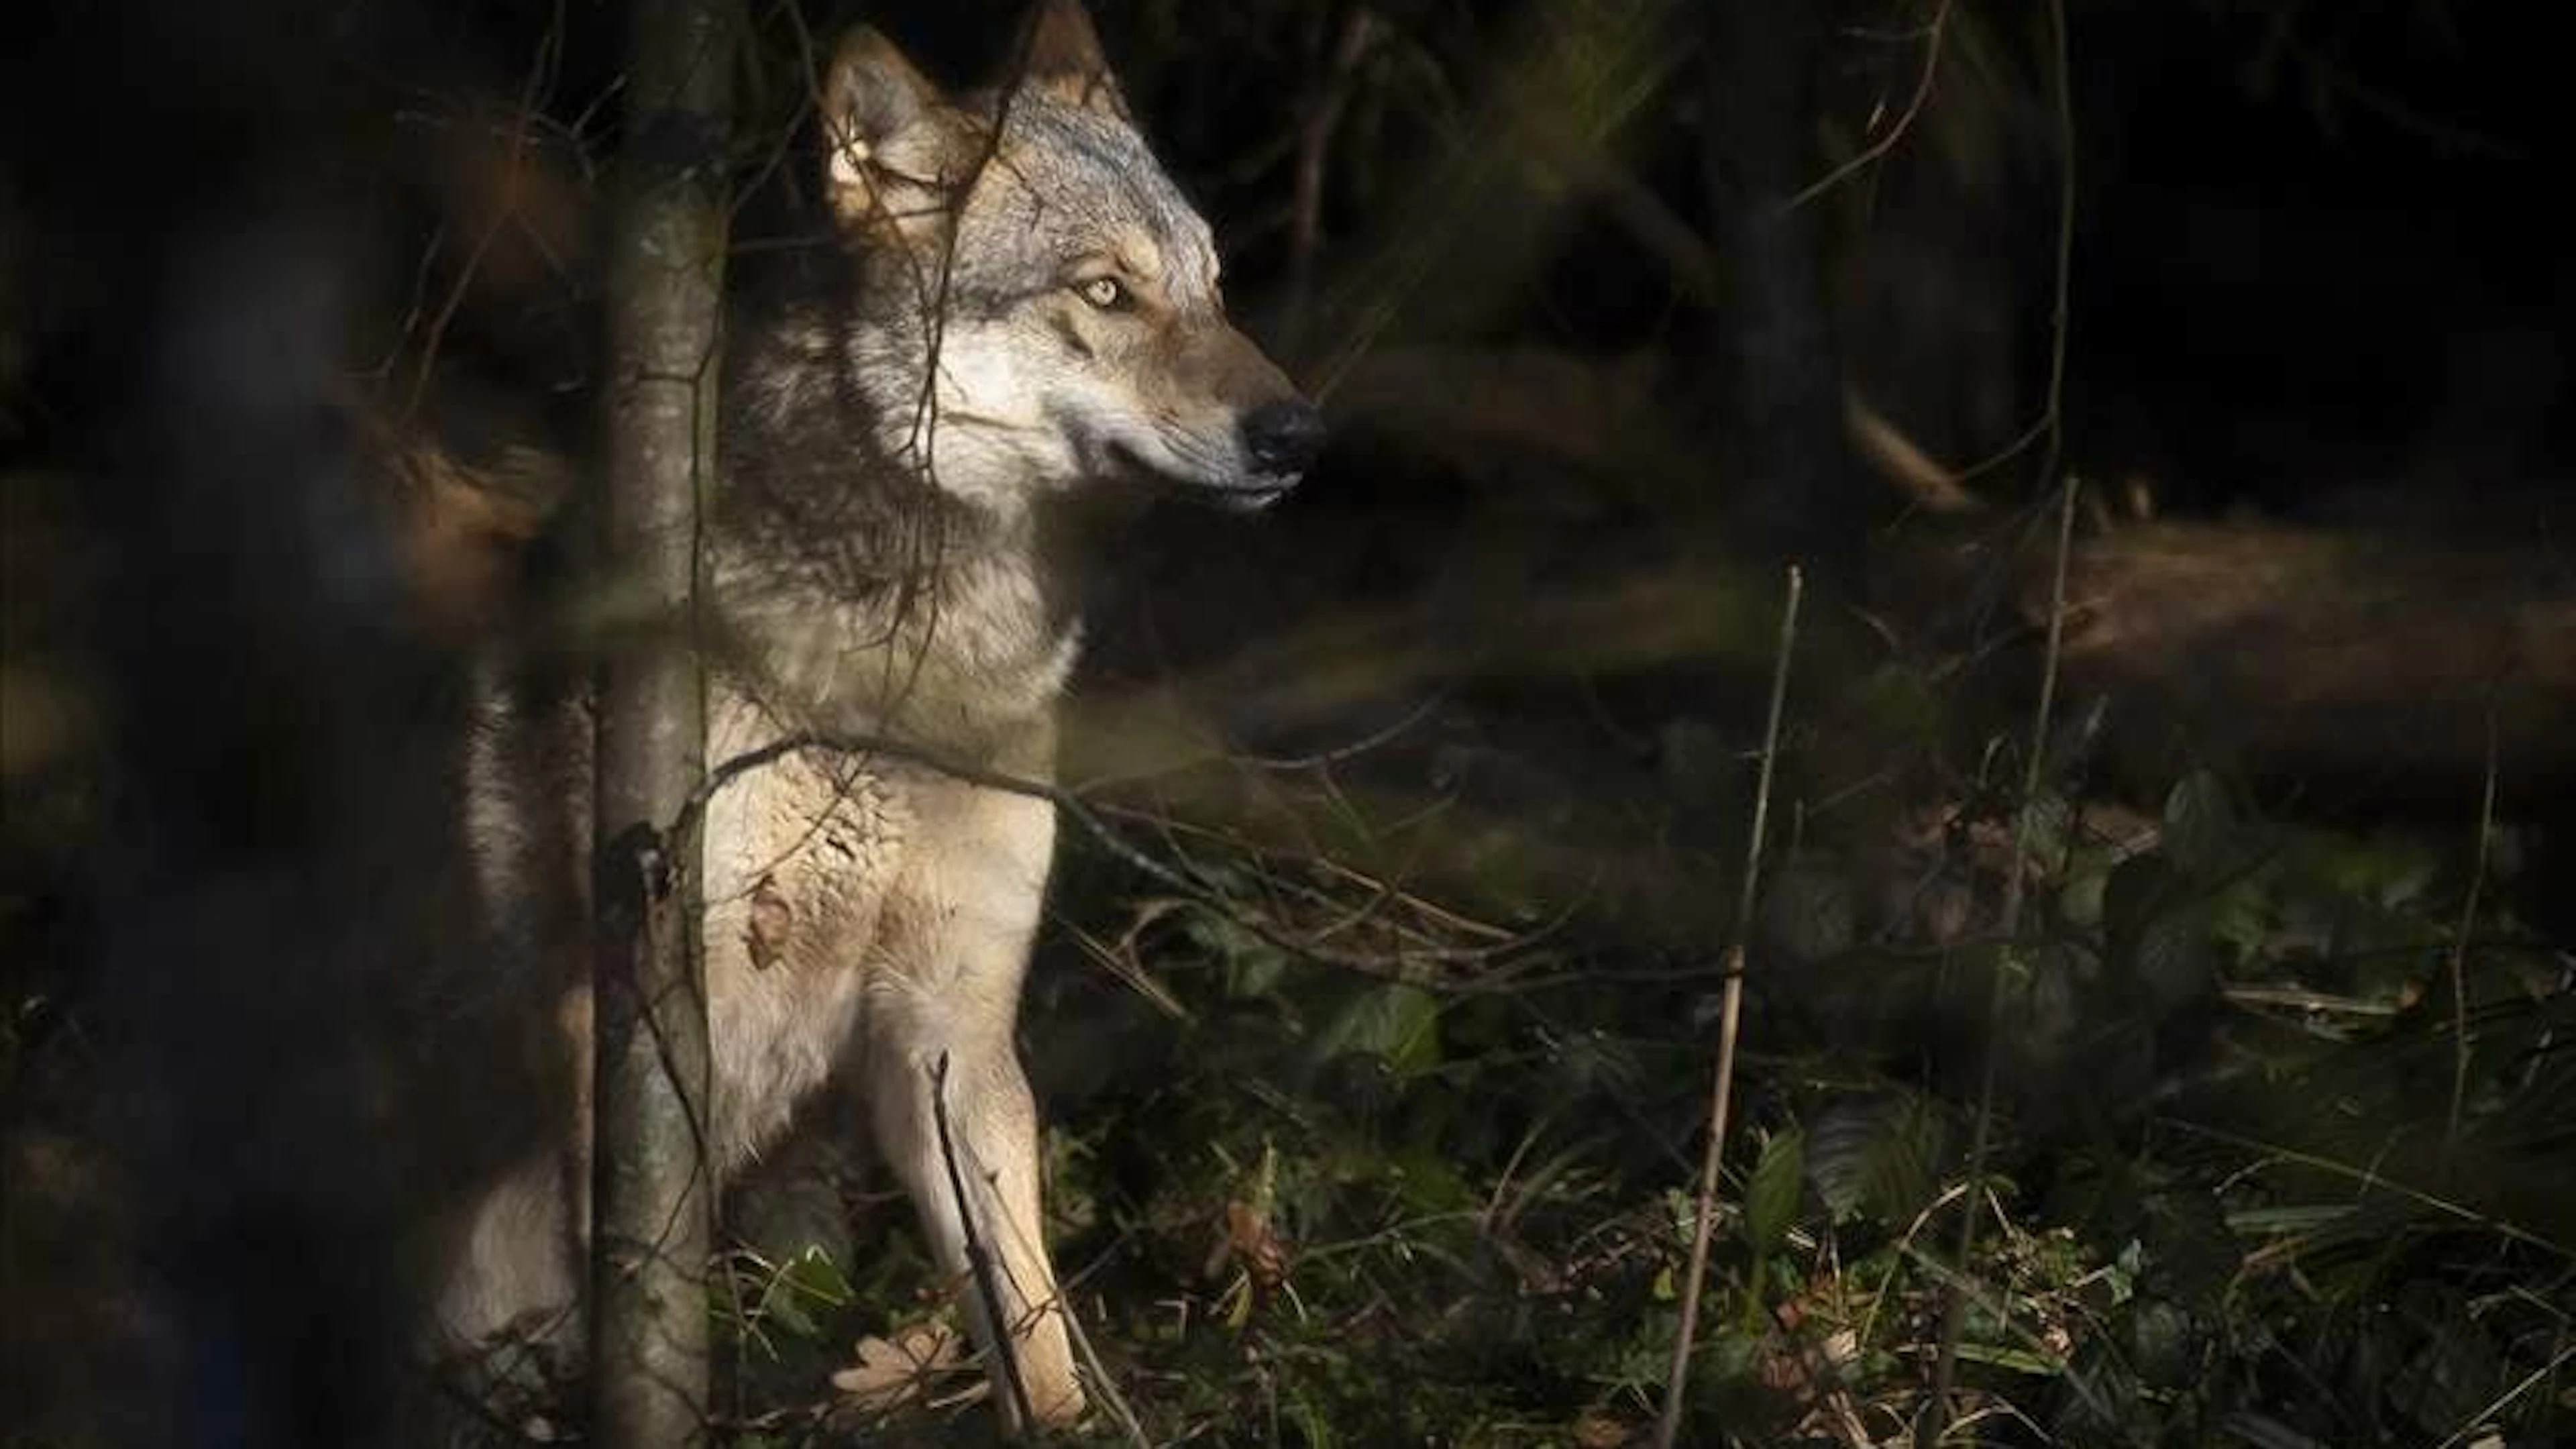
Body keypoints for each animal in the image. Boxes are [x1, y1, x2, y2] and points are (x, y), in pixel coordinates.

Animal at [434, 1, 1322, 1432]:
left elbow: (1034, 1333)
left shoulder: (947, 1025)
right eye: (1106, 291)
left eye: (1214, 286)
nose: (1301, 434)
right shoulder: (628, 1023)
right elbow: (641, 1302)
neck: (907, 674)